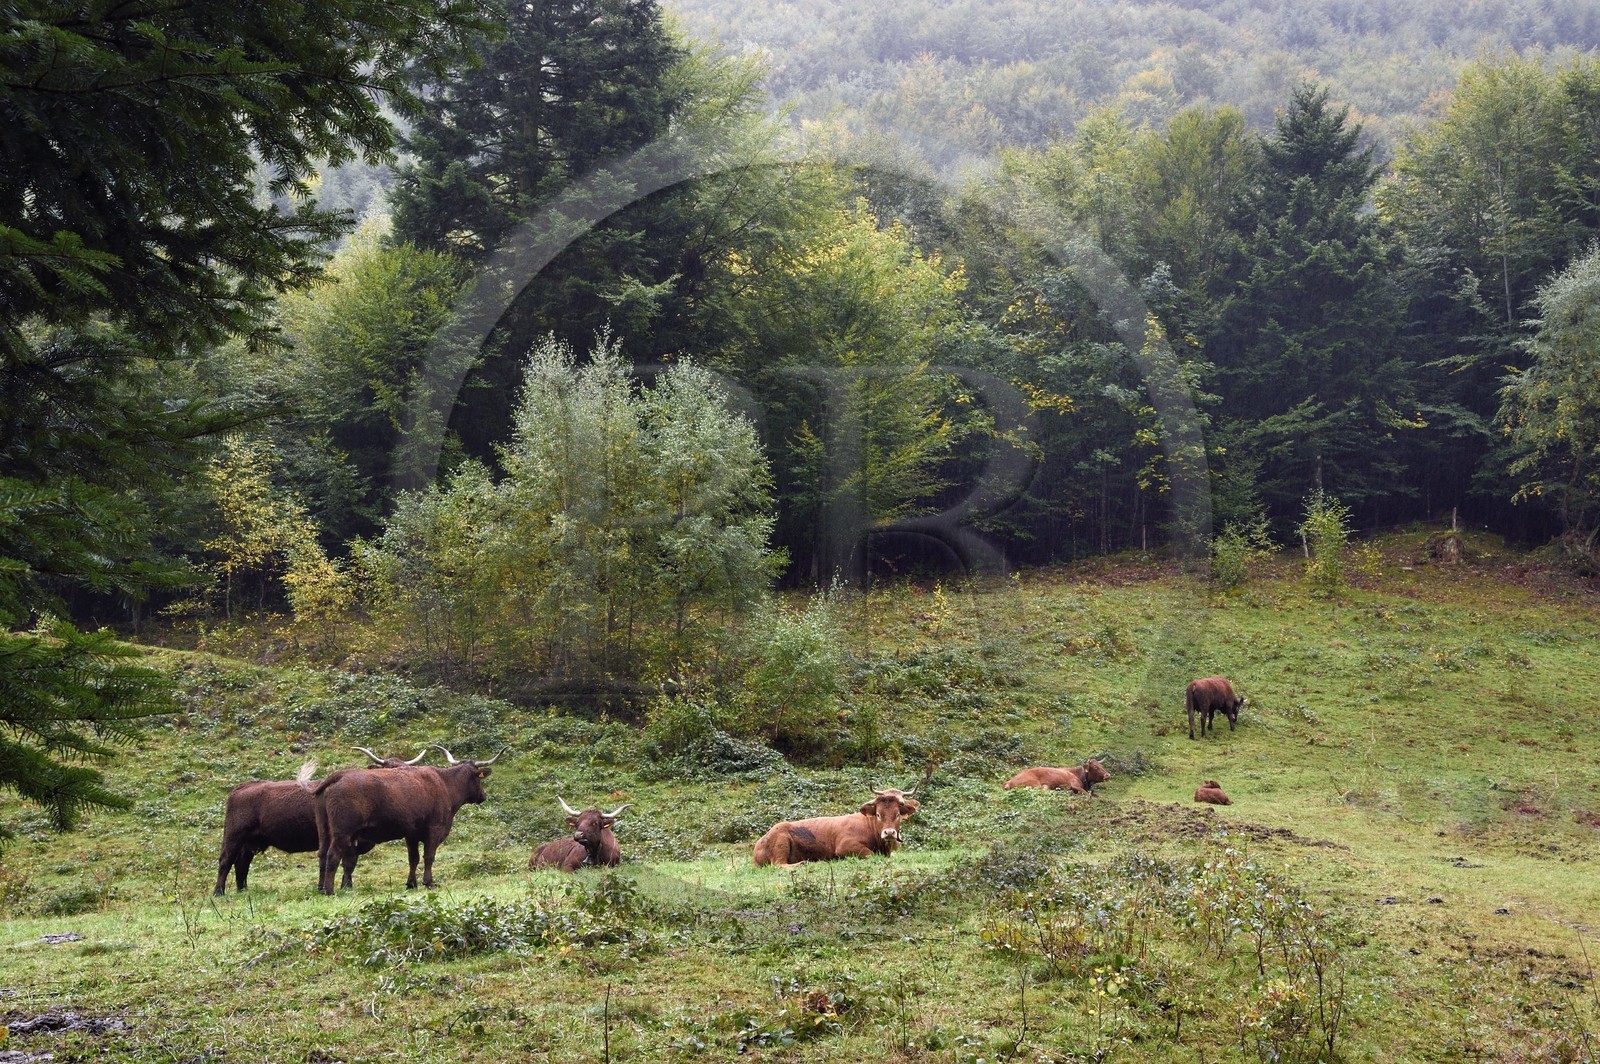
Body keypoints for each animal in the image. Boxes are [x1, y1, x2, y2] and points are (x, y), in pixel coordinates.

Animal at [213, 747, 427, 895]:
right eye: (387, 770)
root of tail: (242, 786)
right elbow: (348, 862)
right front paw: (345, 886)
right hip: (234, 836)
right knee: (226, 861)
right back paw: (219, 892)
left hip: (250, 842)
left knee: (242, 863)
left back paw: (243, 889)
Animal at [313, 744, 504, 894]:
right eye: (479, 780)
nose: (483, 796)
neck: (444, 783)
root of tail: (339, 775)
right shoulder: (434, 830)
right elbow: (429, 856)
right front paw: (429, 882)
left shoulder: (411, 834)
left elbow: (414, 858)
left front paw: (411, 883)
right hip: (342, 832)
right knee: (333, 855)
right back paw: (329, 890)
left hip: (324, 829)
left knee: (322, 855)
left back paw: (321, 888)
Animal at [752, 786, 919, 867]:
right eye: (878, 814)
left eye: (897, 814)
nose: (889, 833)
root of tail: (760, 841)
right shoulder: (845, 846)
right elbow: (870, 854)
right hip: (780, 842)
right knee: (778, 865)